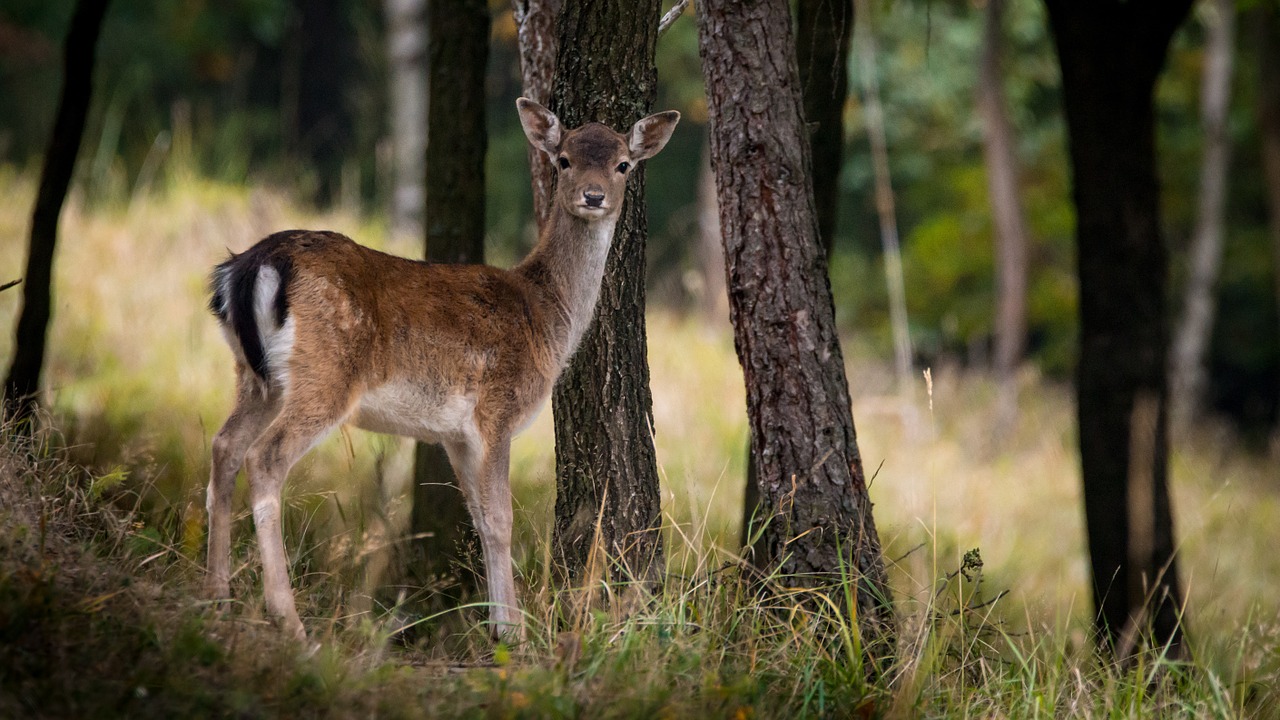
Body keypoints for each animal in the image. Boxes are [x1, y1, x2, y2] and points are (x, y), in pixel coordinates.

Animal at [207, 96, 680, 638]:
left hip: (256, 378)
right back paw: (290, 621)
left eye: (623, 164)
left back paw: (215, 599)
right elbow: (501, 517)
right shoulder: (497, 409)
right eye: (563, 160)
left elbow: (477, 516)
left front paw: (497, 624)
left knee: (225, 446)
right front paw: (513, 633)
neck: (547, 316)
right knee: (265, 458)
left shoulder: (454, 433)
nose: (594, 195)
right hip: (325, 376)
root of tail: (248, 267)